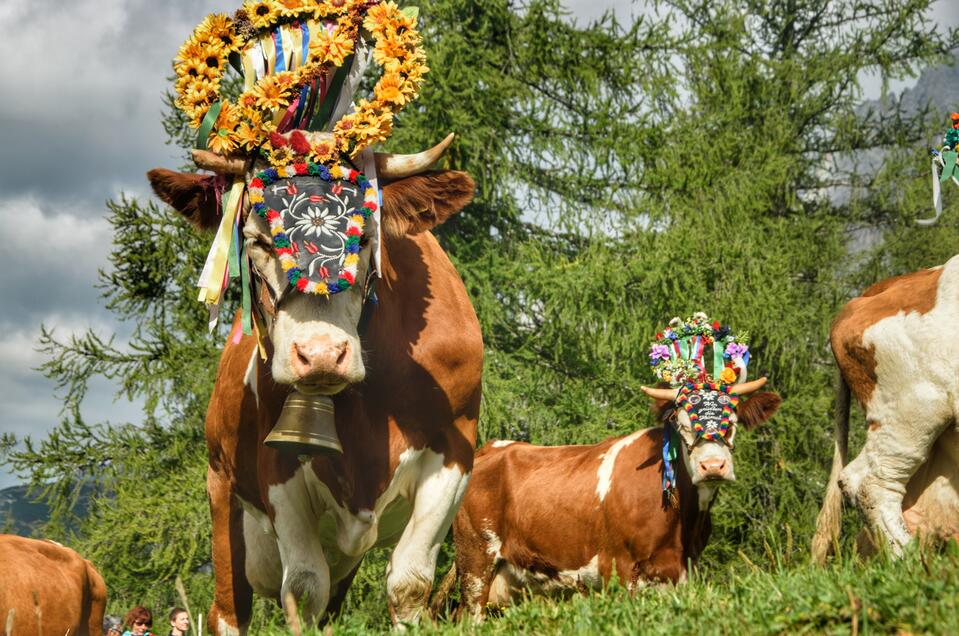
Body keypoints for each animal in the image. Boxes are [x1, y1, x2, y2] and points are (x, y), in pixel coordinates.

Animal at [149, 3, 484, 632]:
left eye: (367, 234)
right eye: (255, 240)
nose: (321, 355)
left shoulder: (455, 451)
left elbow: (408, 582)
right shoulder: (277, 465)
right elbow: (302, 586)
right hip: (222, 498)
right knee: (229, 607)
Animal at [450, 314, 780, 620]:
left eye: (732, 423)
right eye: (683, 425)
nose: (713, 466)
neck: (681, 525)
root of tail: (490, 448)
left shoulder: (680, 571)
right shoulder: (621, 566)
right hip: (476, 560)